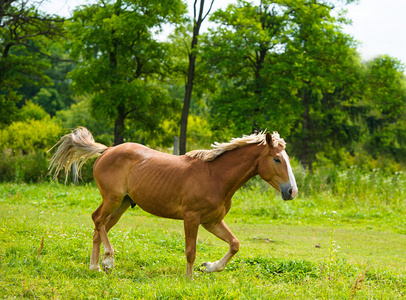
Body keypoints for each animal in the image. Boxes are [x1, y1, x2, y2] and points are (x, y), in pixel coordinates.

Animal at [48, 127, 298, 278]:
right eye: (277, 159)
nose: (291, 191)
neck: (215, 176)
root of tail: (107, 150)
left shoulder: (212, 221)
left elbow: (235, 244)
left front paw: (209, 267)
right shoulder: (192, 218)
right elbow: (190, 250)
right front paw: (189, 279)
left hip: (122, 205)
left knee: (99, 228)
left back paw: (96, 266)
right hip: (112, 198)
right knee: (97, 219)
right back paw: (108, 261)